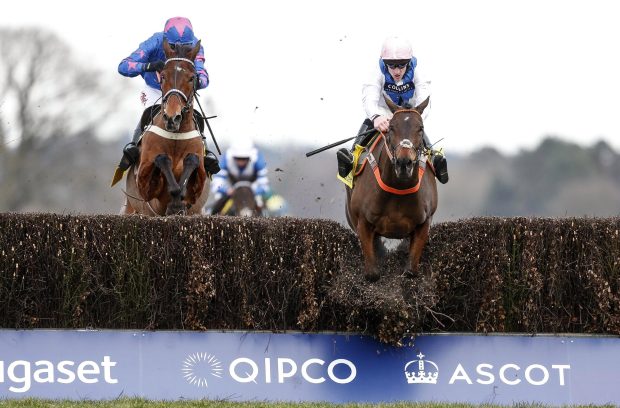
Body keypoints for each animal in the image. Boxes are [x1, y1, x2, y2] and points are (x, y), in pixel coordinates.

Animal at [121, 39, 211, 215]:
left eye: (192, 78)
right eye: (162, 76)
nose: (172, 117)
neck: (175, 135)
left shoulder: (198, 186)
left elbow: (193, 160)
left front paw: (178, 201)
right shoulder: (145, 188)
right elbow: (161, 159)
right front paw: (175, 202)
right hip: (132, 207)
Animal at [344, 95, 436, 280]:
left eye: (420, 128)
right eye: (391, 128)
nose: (404, 163)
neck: (398, 188)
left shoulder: (424, 224)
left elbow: (410, 271)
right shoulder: (363, 224)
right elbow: (372, 273)